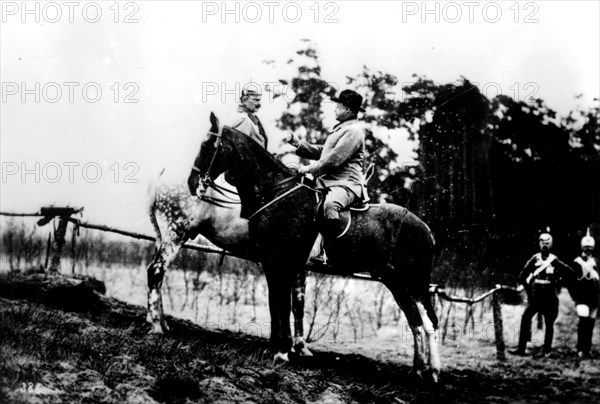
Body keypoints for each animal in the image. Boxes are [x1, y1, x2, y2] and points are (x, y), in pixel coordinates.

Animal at [188, 113, 440, 378]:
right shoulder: (274, 264)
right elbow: (277, 305)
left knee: (427, 322)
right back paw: (421, 369)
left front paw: (282, 352)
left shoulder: (281, 263)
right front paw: (277, 349)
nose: (193, 183)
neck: (277, 193)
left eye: (207, 145)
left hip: (411, 282)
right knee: (419, 321)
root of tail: (426, 229)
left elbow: (283, 305)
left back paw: (429, 371)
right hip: (398, 282)